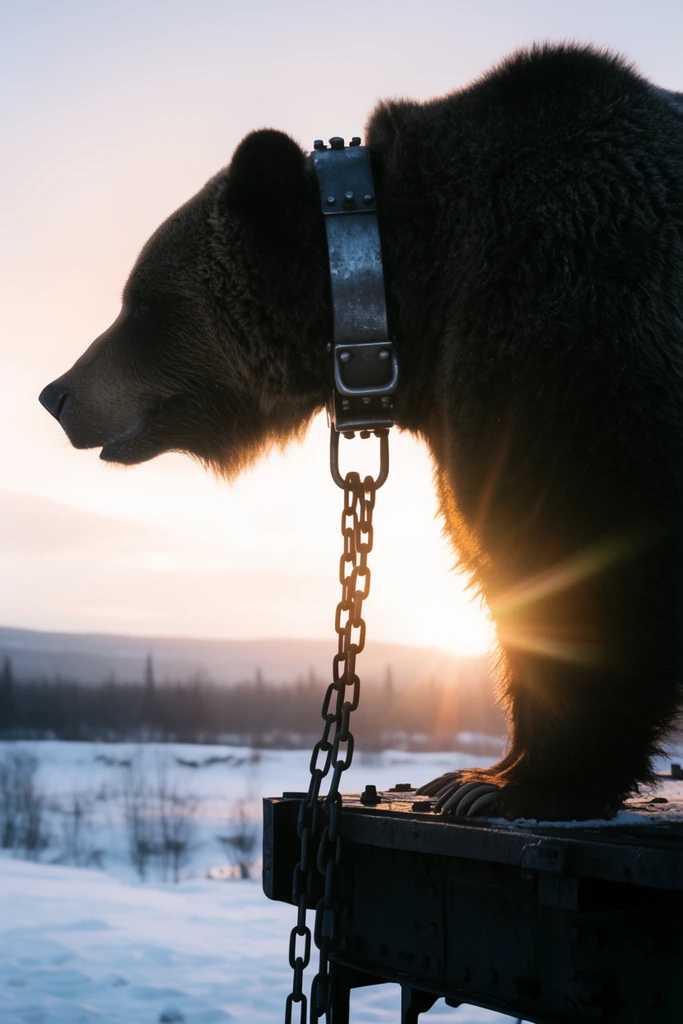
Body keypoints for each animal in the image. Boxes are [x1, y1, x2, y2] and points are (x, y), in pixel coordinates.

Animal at [40, 43, 683, 821]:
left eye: (141, 305)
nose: (56, 394)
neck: (411, 305)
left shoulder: (571, 343)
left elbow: (578, 560)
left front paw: (512, 783)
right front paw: (472, 773)